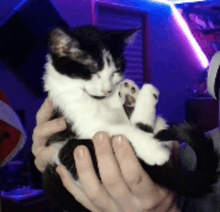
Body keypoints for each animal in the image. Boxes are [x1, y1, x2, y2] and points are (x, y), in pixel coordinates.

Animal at [42, 26, 219, 212]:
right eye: (92, 70)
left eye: (116, 71)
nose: (107, 89)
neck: (101, 100)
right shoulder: (83, 122)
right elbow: (123, 129)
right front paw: (153, 150)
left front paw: (128, 98)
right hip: (69, 154)